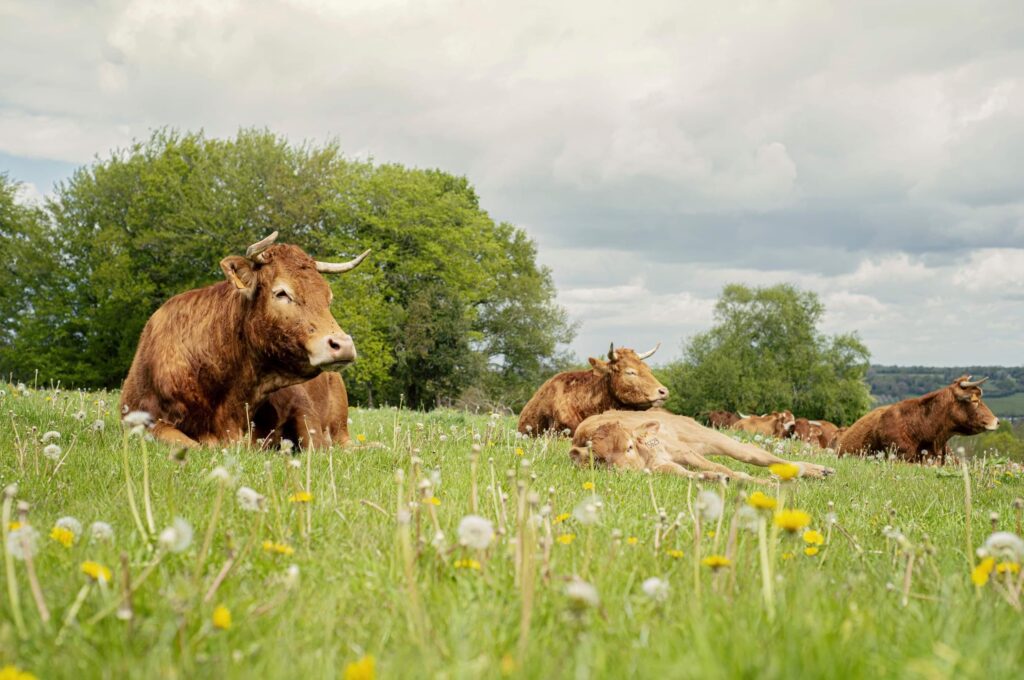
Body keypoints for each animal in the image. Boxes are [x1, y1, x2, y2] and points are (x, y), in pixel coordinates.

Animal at [570, 410, 834, 481]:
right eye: (600, 459)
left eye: (629, 447)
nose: (623, 471)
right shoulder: (664, 467)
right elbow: (693, 474)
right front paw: (713, 478)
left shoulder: (684, 452)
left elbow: (726, 469)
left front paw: (765, 483)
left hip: (715, 438)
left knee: (759, 457)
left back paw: (816, 470)